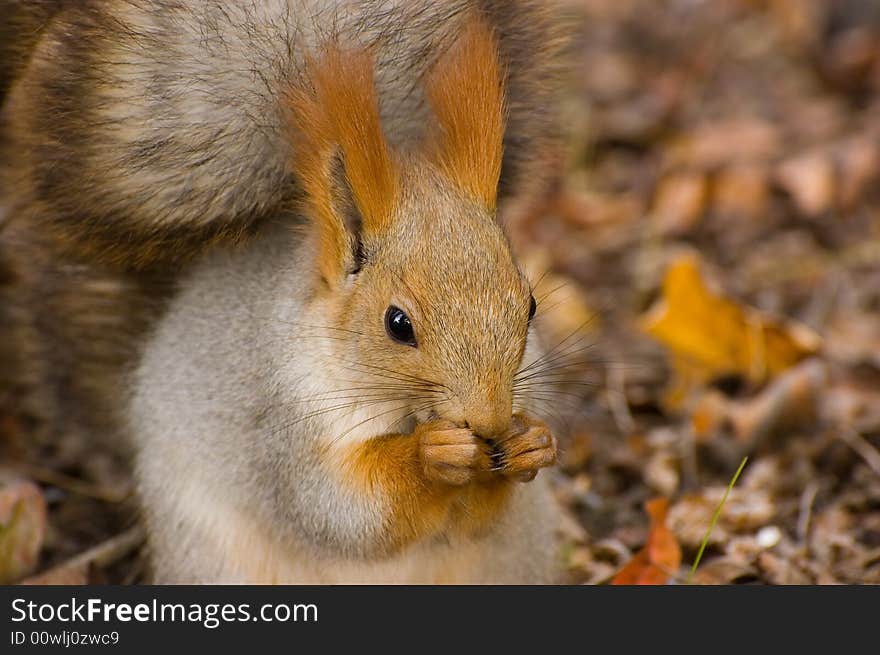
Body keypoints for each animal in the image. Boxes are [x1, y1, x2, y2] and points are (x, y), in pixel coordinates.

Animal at [0, 1, 572, 584]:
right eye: (398, 324)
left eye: (529, 305)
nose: (489, 421)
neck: (402, 408)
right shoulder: (280, 418)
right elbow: (339, 510)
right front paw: (430, 455)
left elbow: (476, 519)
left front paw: (532, 444)